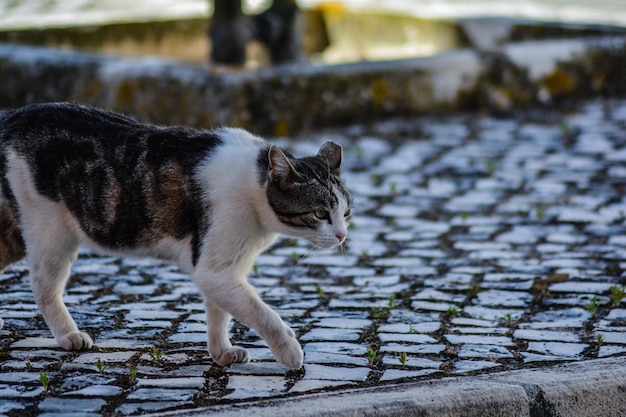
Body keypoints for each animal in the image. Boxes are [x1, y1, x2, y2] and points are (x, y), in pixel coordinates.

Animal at [0, 102, 352, 368]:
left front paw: (222, 352)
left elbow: (220, 312)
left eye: (346, 213)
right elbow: (260, 312)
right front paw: (290, 352)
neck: (255, 186)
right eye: (320, 214)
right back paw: (68, 336)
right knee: (43, 288)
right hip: (51, 233)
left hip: (15, 233)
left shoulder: (222, 268)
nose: (341, 236)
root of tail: (14, 115)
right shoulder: (213, 269)